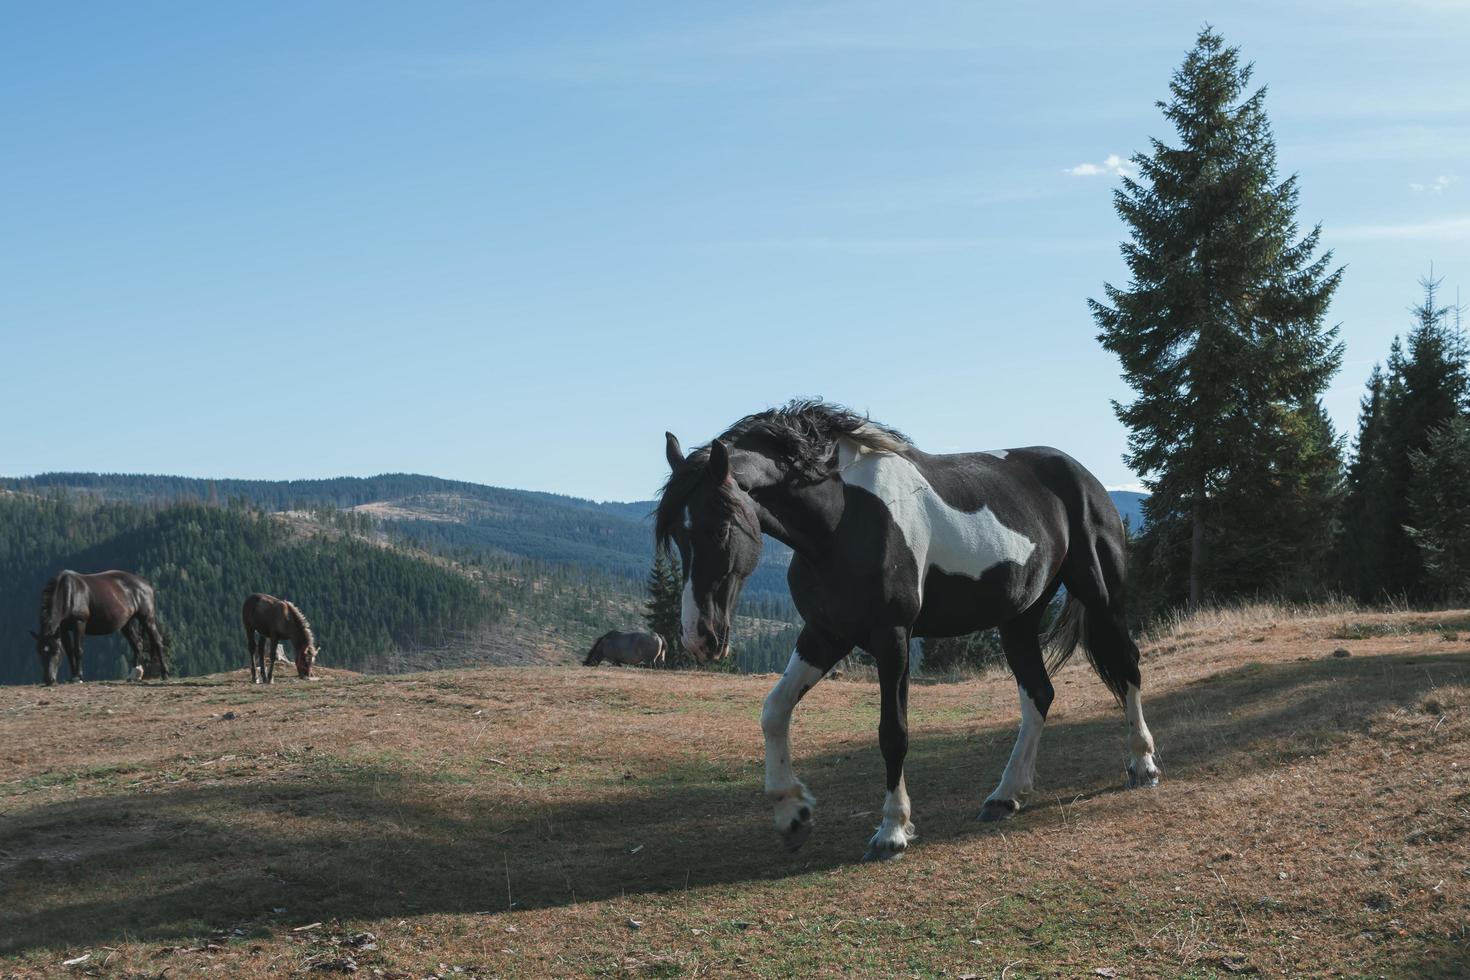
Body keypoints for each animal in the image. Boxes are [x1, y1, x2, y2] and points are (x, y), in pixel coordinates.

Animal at [30, 570, 167, 687]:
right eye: (39, 652)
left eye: (56, 652)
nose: (49, 680)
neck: (68, 593)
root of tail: (146, 584)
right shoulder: (63, 629)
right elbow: (69, 651)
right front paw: (73, 675)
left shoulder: (79, 623)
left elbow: (78, 649)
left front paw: (78, 677)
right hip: (126, 623)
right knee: (137, 644)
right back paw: (132, 675)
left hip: (147, 618)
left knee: (157, 641)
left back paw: (164, 673)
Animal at [661, 399, 1164, 858]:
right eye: (678, 536)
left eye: (721, 529)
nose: (698, 637)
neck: (841, 519)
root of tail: (1084, 477)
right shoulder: (825, 633)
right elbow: (774, 710)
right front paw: (793, 813)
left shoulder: (893, 637)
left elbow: (893, 732)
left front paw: (892, 830)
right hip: (1019, 617)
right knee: (1039, 694)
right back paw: (1005, 796)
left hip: (1102, 598)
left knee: (1128, 667)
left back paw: (1142, 764)